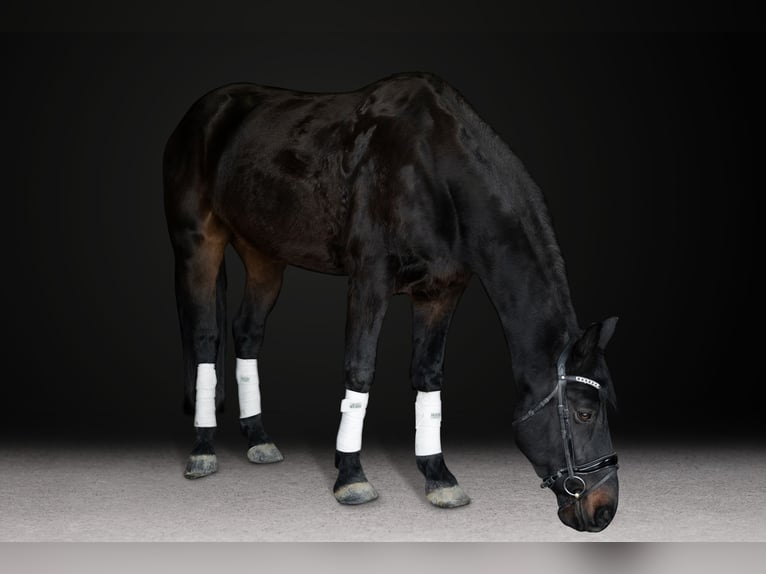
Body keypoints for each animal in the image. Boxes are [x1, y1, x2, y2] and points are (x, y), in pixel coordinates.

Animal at [163, 72, 620, 532]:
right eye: (584, 413)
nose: (604, 509)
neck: (434, 171)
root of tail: (201, 112)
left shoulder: (441, 293)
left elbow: (428, 377)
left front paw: (439, 477)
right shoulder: (370, 281)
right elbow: (360, 371)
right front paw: (351, 476)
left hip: (264, 254)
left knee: (247, 332)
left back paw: (258, 439)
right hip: (198, 245)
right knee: (204, 339)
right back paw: (203, 450)